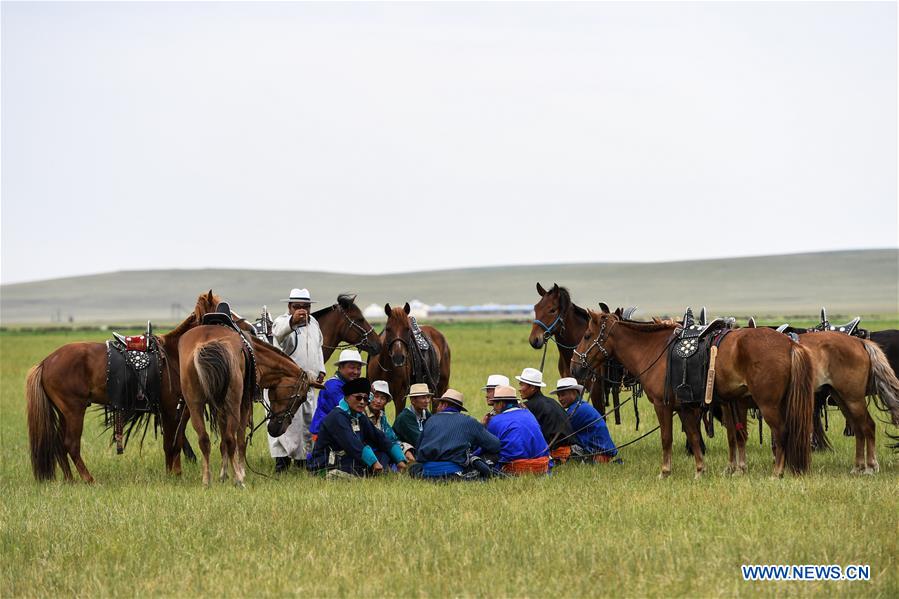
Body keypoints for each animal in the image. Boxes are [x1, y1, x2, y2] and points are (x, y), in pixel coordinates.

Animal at [26, 290, 222, 482]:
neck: (174, 354)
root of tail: (45, 362)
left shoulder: (180, 409)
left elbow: (177, 440)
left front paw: (176, 472)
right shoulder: (170, 407)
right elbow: (170, 443)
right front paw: (171, 475)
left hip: (64, 413)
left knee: (59, 444)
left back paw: (70, 479)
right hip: (74, 410)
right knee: (70, 444)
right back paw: (88, 479)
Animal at [178, 324, 317, 487]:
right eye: (301, 397)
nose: (277, 429)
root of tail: (206, 342)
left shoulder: (220, 408)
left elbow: (223, 443)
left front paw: (223, 474)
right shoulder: (244, 404)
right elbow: (240, 440)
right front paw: (240, 471)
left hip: (195, 405)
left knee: (204, 439)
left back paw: (207, 480)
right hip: (233, 402)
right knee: (231, 439)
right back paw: (239, 480)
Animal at [571, 305, 815, 478]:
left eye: (587, 335)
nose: (574, 366)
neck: (654, 350)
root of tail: (790, 344)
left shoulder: (663, 405)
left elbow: (666, 438)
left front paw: (665, 471)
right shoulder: (685, 406)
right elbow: (694, 437)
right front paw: (699, 470)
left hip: (768, 404)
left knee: (781, 432)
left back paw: (777, 472)